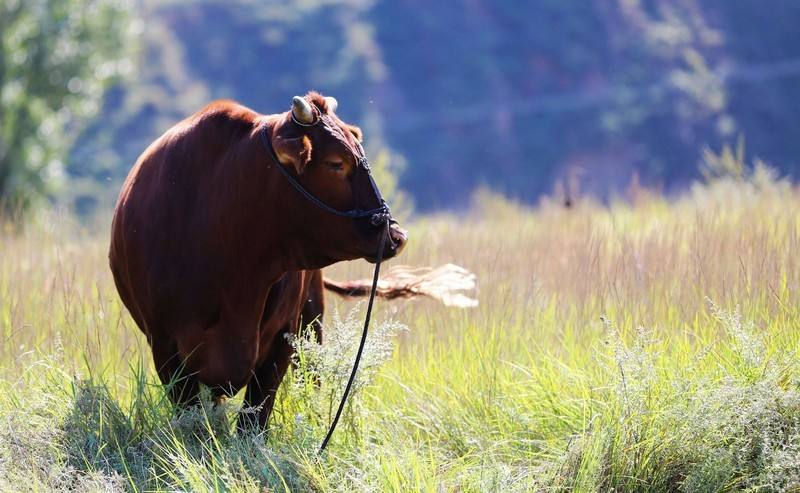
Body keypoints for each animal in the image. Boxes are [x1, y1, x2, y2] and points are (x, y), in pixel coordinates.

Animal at [111, 92, 406, 426]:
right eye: (335, 163)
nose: (395, 235)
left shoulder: (282, 338)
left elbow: (254, 418)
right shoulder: (165, 346)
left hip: (311, 317)